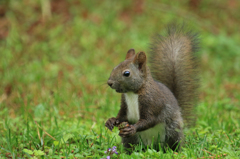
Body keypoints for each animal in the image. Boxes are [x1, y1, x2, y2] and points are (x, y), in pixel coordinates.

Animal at [104, 23, 199, 152]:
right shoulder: (125, 104)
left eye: (126, 73)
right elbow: (122, 116)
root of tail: (152, 145)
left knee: (173, 143)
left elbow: (150, 120)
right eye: (115, 67)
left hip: (172, 130)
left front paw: (133, 128)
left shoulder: (153, 103)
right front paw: (112, 120)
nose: (109, 82)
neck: (133, 93)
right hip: (131, 140)